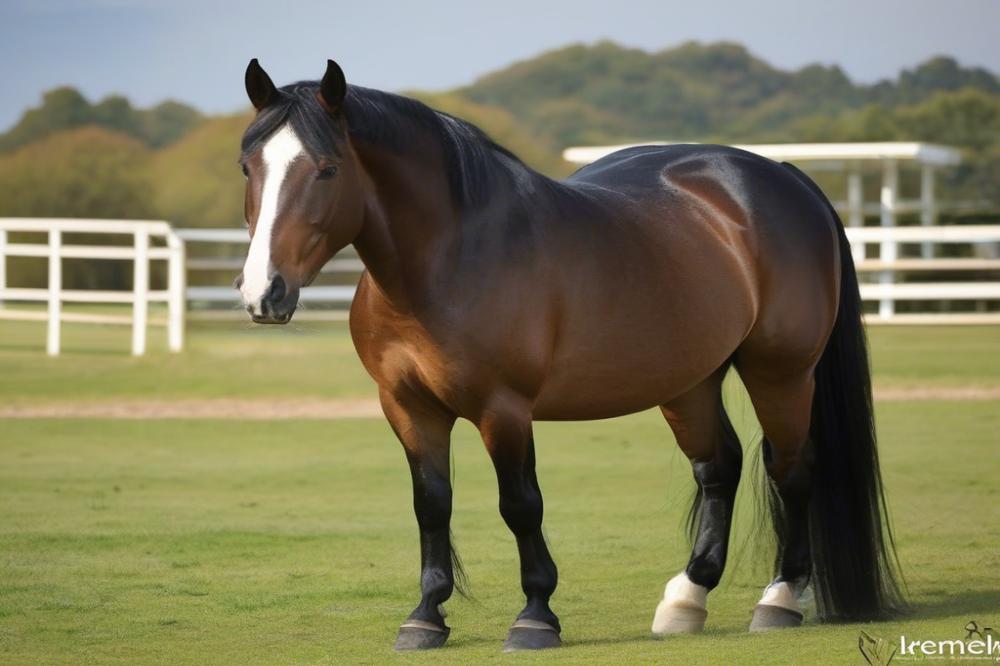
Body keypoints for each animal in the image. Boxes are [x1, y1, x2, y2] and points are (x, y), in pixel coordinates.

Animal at [236, 59, 908, 652]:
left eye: (327, 168)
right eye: (248, 167)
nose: (263, 291)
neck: (450, 255)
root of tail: (786, 176)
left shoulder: (504, 409)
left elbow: (520, 505)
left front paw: (535, 617)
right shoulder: (406, 407)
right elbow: (432, 505)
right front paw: (425, 616)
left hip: (782, 372)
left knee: (789, 467)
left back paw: (780, 599)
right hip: (688, 380)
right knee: (720, 467)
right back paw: (686, 599)